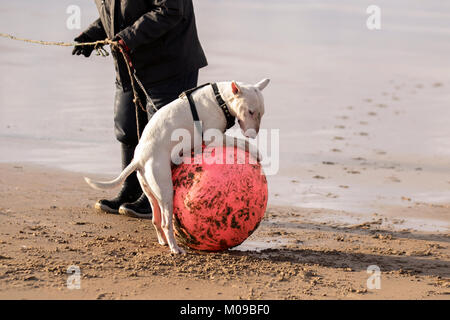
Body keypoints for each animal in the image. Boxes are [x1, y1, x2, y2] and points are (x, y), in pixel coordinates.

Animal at [85, 79, 270, 254]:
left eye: (261, 113)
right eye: (250, 111)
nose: (253, 134)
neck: (220, 98)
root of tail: (139, 159)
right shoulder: (215, 137)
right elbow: (240, 141)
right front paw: (257, 152)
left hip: (150, 190)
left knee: (156, 219)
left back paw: (163, 242)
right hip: (166, 190)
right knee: (166, 223)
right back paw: (175, 249)